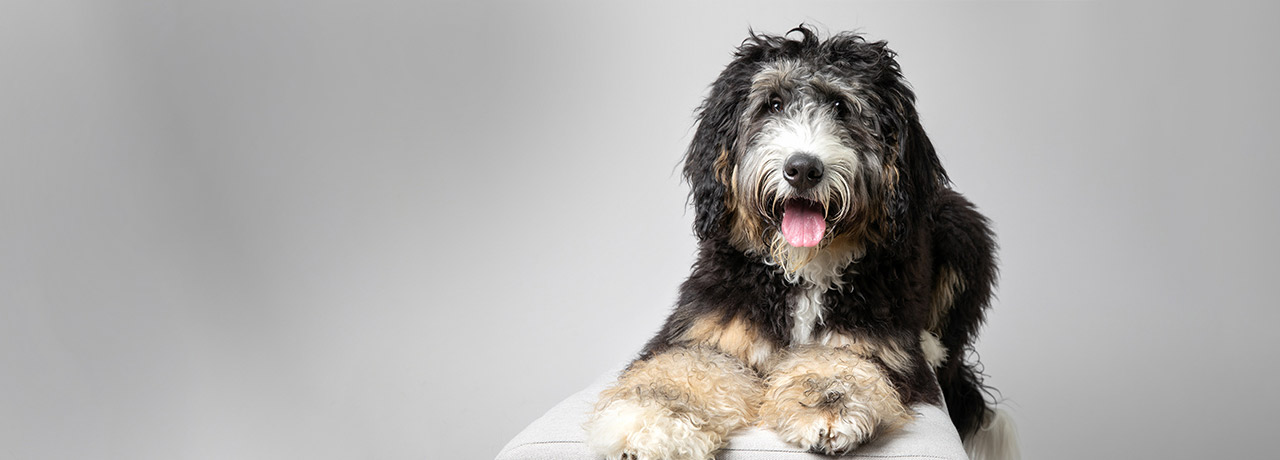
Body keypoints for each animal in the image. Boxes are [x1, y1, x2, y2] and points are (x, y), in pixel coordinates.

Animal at [586, 27, 1018, 460]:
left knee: (950, 344)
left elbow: (838, 363)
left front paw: (828, 408)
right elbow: (683, 370)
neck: (803, 270)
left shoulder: (872, 342)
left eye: (842, 107)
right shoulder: (708, 329)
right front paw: (650, 424)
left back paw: (929, 345)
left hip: (961, 226)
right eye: (772, 104)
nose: (803, 169)